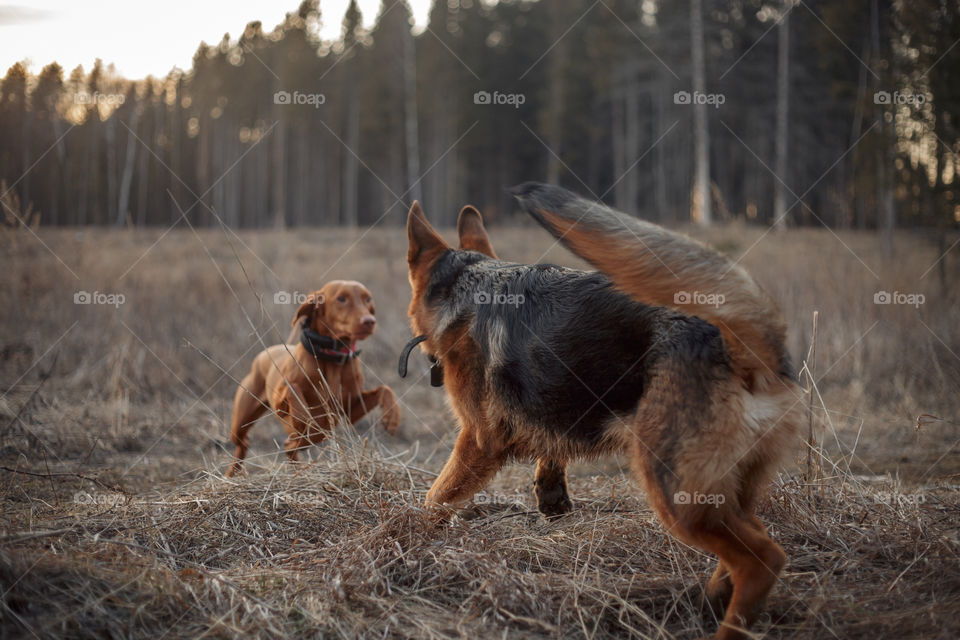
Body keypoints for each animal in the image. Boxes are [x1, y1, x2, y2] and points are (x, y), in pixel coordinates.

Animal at [227, 280, 400, 476]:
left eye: (367, 298)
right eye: (342, 298)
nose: (369, 321)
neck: (332, 357)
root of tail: (268, 351)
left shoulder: (349, 411)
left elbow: (385, 389)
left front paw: (392, 417)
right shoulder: (280, 401)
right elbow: (294, 392)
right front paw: (302, 420)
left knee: (287, 446)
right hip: (241, 419)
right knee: (244, 442)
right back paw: (232, 472)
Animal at [404, 182, 804, 636]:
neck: (470, 285)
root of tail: (746, 346)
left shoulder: (477, 442)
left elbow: (434, 499)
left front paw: (406, 538)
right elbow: (550, 449)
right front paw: (552, 495)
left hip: (676, 491)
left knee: (762, 559)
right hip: (727, 492)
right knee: (751, 540)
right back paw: (712, 598)